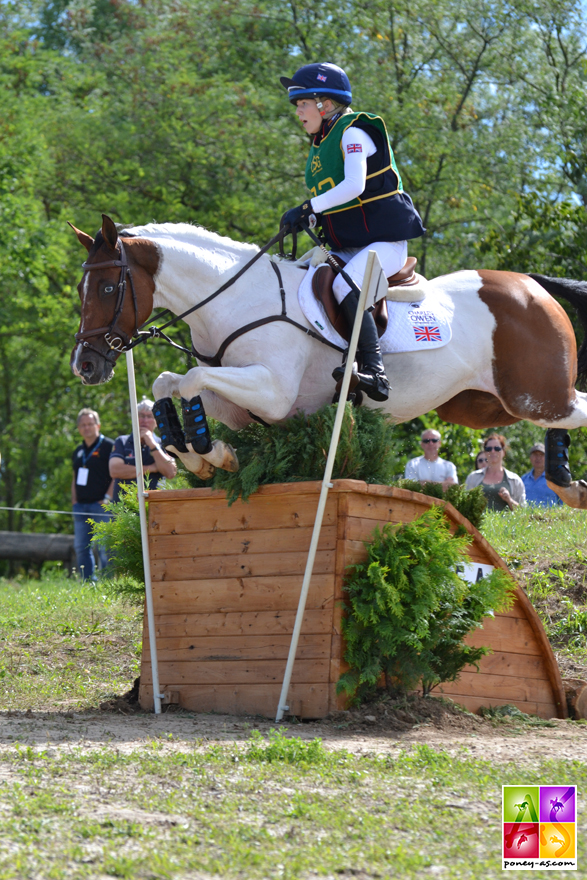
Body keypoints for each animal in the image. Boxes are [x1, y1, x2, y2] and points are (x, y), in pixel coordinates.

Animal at [71, 212, 587, 508]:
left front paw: (202, 448)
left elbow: (193, 377)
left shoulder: (273, 392)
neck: (233, 298)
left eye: (109, 287)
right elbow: (168, 382)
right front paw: (204, 452)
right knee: (562, 414)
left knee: (574, 407)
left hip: (534, 394)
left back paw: (567, 483)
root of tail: (532, 284)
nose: (85, 365)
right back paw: (565, 481)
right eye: (82, 287)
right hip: (480, 405)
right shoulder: (247, 404)